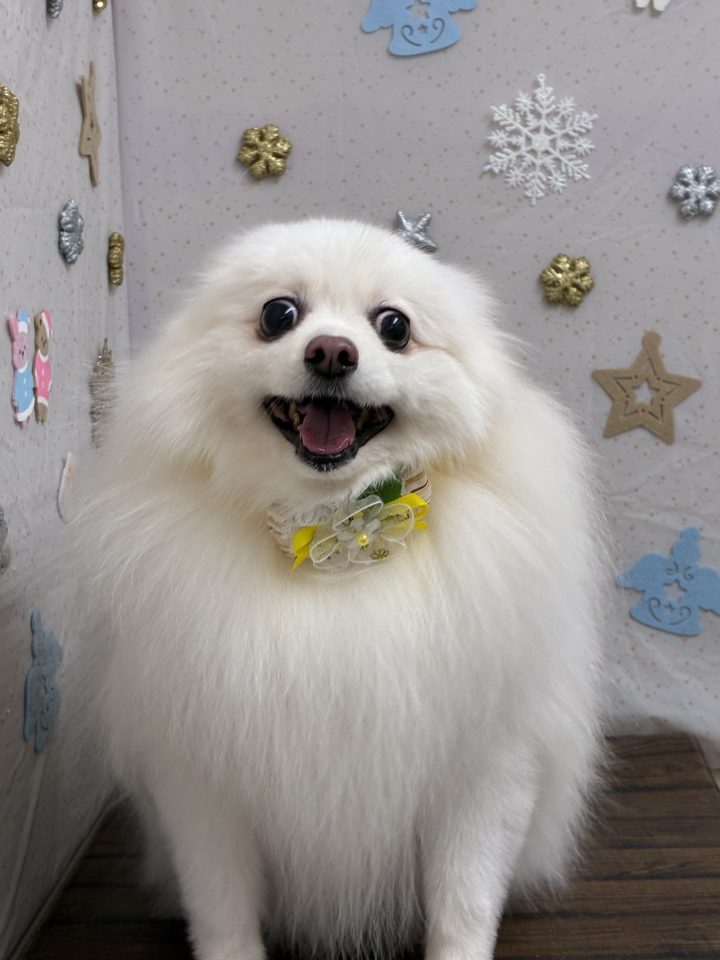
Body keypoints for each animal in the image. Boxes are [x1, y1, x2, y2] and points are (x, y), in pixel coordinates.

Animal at [78, 218, 605, 960]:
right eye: (279, 314)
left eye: (394, 326)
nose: (332, 352)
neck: (336, 535)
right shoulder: (200, 778)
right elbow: (220, 906)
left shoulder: (486, 769)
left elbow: (465, 899)